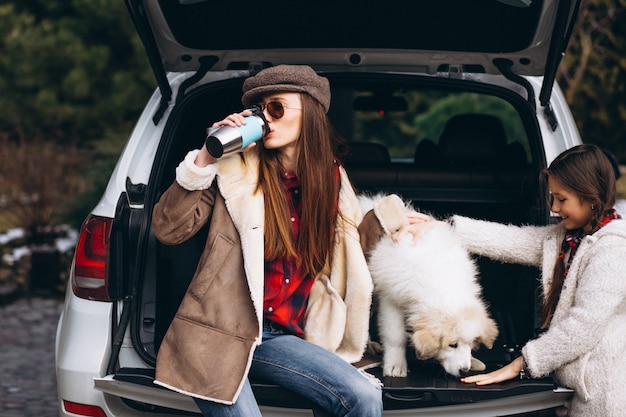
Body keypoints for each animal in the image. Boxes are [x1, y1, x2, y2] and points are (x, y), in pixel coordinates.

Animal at [360, 195, 498, 376]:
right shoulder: (391, 299)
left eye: (471, 343)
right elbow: (395, 336)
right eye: (452, 345)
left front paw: (473, 360)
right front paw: (396, 364)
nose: (464, 371)